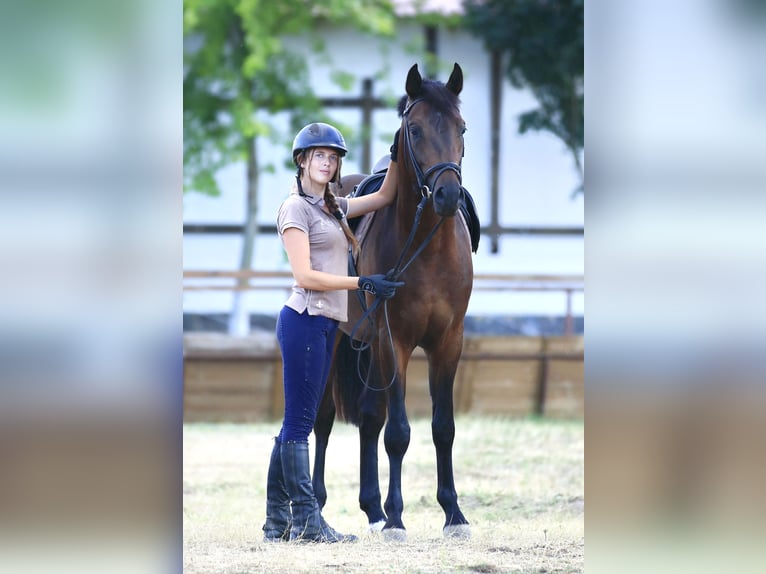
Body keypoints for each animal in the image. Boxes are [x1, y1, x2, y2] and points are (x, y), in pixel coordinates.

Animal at [314, 65, 472, 544]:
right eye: (414, 129)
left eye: (461, 128)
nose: (447, 196)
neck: (428, 249)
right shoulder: (394, 340)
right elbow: (399, 432)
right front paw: (399, 519)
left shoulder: (448, 343)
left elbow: (443, 428)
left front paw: (454, 515)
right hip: (340, 341)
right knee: (323, 419)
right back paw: (321, 505)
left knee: (369, 419)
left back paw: (372, 509)